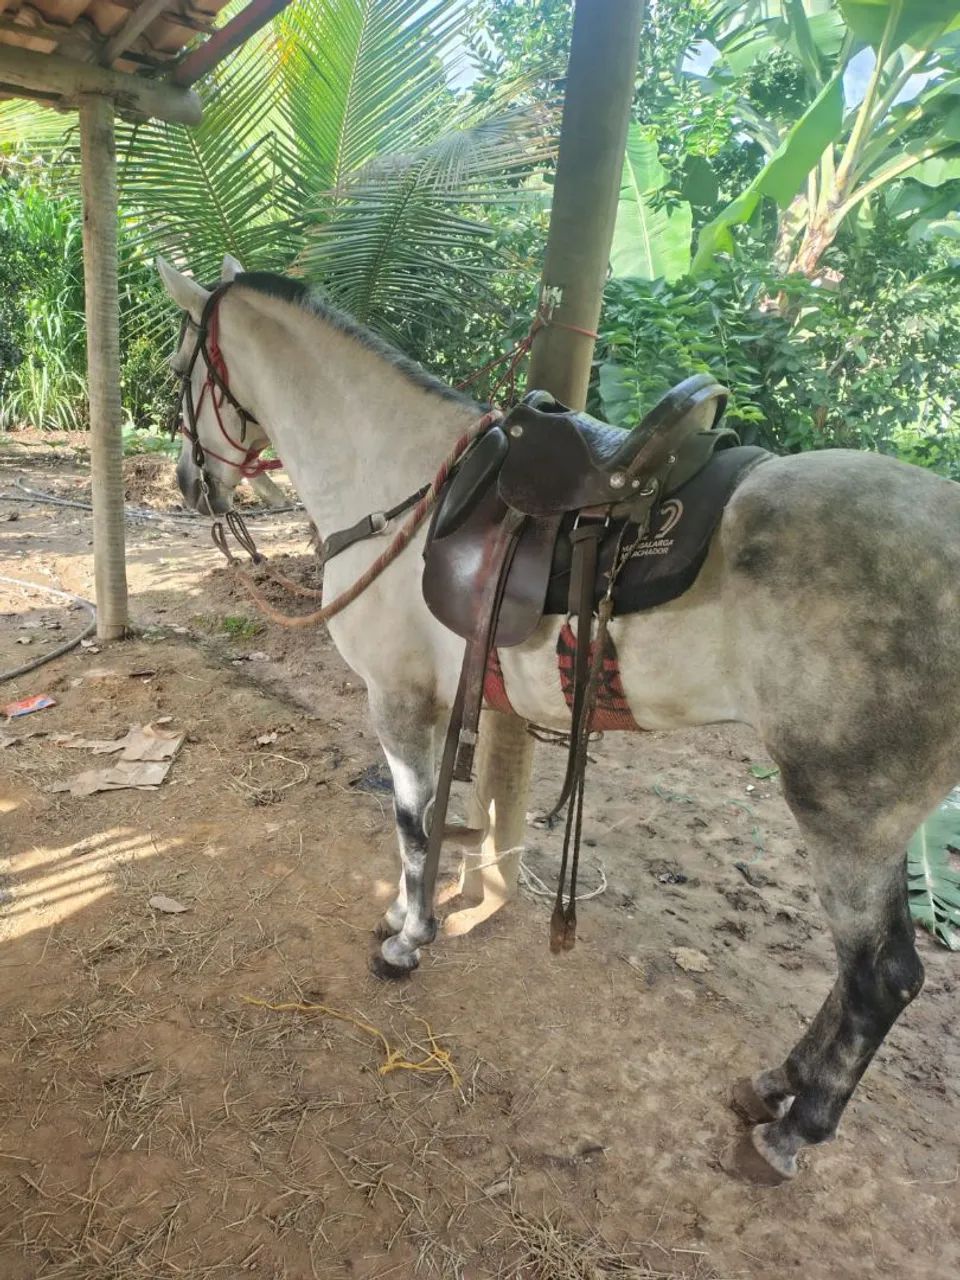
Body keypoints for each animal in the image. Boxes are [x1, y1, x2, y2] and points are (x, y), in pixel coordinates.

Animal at [157, 253, 960, 1186]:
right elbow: (440, 822)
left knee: (882, 976)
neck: (398, 477)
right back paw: (774, 1086)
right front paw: (413, 918)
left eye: (177, 369)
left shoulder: (398, 702)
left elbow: (412, 827)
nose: (188, 484)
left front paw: (406, 938)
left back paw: (796, 1130)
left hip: (848, 814)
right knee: (861, 971)